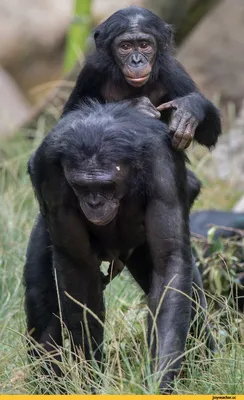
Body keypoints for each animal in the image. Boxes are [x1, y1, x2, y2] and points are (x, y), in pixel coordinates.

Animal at [23, 101, 212, 392]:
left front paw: (159, 379)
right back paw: (50, 384)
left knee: (189, 294)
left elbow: (169, 263)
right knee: (40, 296)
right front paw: (89, 376)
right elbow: (78, 272)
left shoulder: (162, 171)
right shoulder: (51, 179)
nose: (94, 202)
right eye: (81, 186)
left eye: (107, 185)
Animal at [63, 5, 221, 152]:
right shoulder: (91, 70)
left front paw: (188, 109)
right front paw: (136, 106)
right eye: (125, 46)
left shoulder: (174, 72)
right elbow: (69, 118)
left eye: (144, 45)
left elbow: (209, 135)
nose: (136, 60)